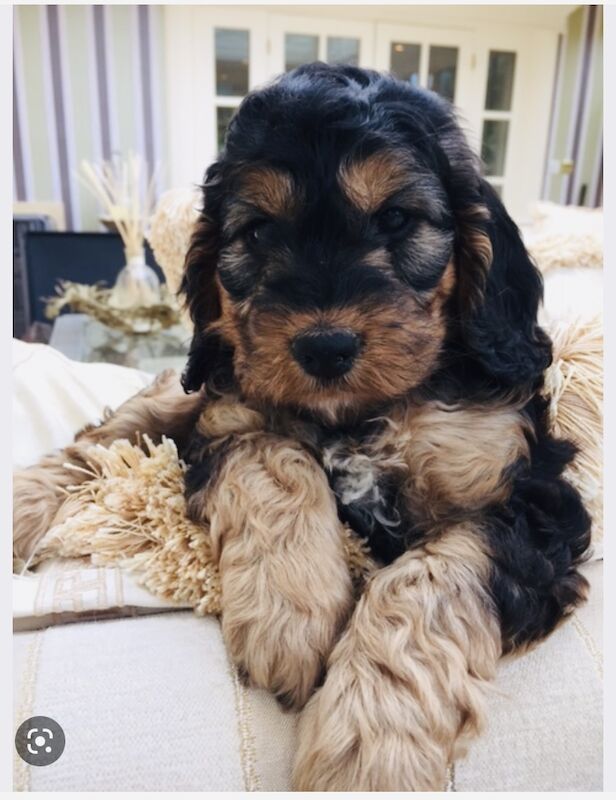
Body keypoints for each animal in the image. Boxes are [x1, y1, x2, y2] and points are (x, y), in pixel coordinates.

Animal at [14, 65, 592, 792]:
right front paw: (292, 616)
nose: (325, 348)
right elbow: (274, 462)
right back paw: (24, 506)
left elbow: (431, 578)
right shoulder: (230, 417)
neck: (361, 411)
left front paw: (371, 746)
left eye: (396, 219)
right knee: (108, 438)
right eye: (259, 232)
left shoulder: (528, 499)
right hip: (194, 385)